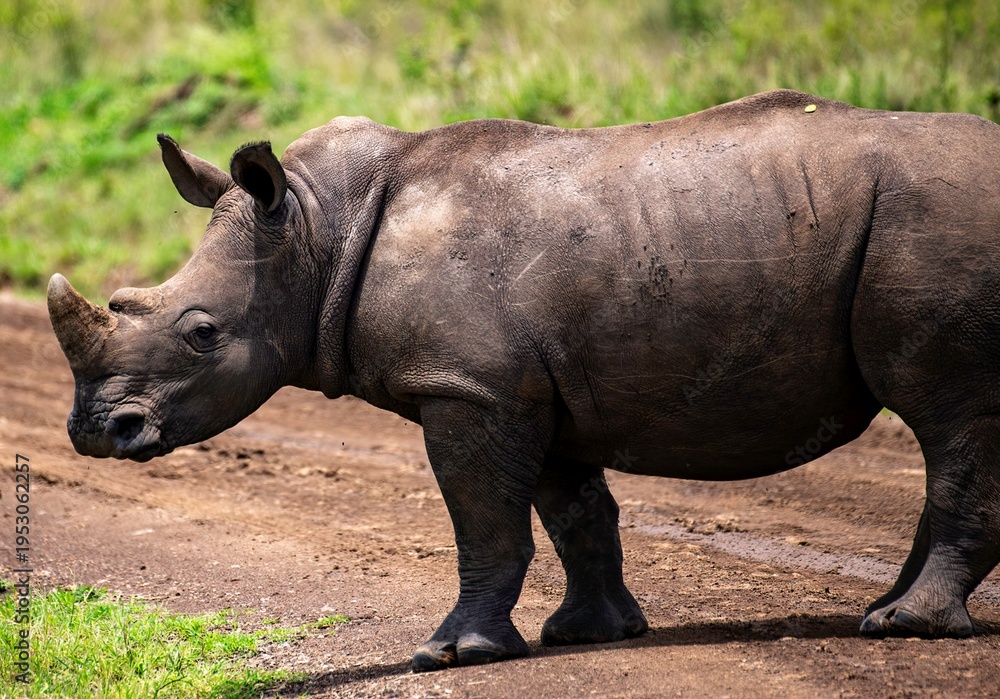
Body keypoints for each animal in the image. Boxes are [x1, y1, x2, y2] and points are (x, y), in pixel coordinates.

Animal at [48, 90, 1000, 670]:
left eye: (202, 333)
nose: (98, 432)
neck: (317, 227)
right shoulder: (531, 387)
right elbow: (575, 512)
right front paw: (592, 633)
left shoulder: (471, 388)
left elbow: (485, 522)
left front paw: (456, 653)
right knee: (952, 426)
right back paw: (884, 613)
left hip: (937, 224)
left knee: (950, 417)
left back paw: (907, 624)